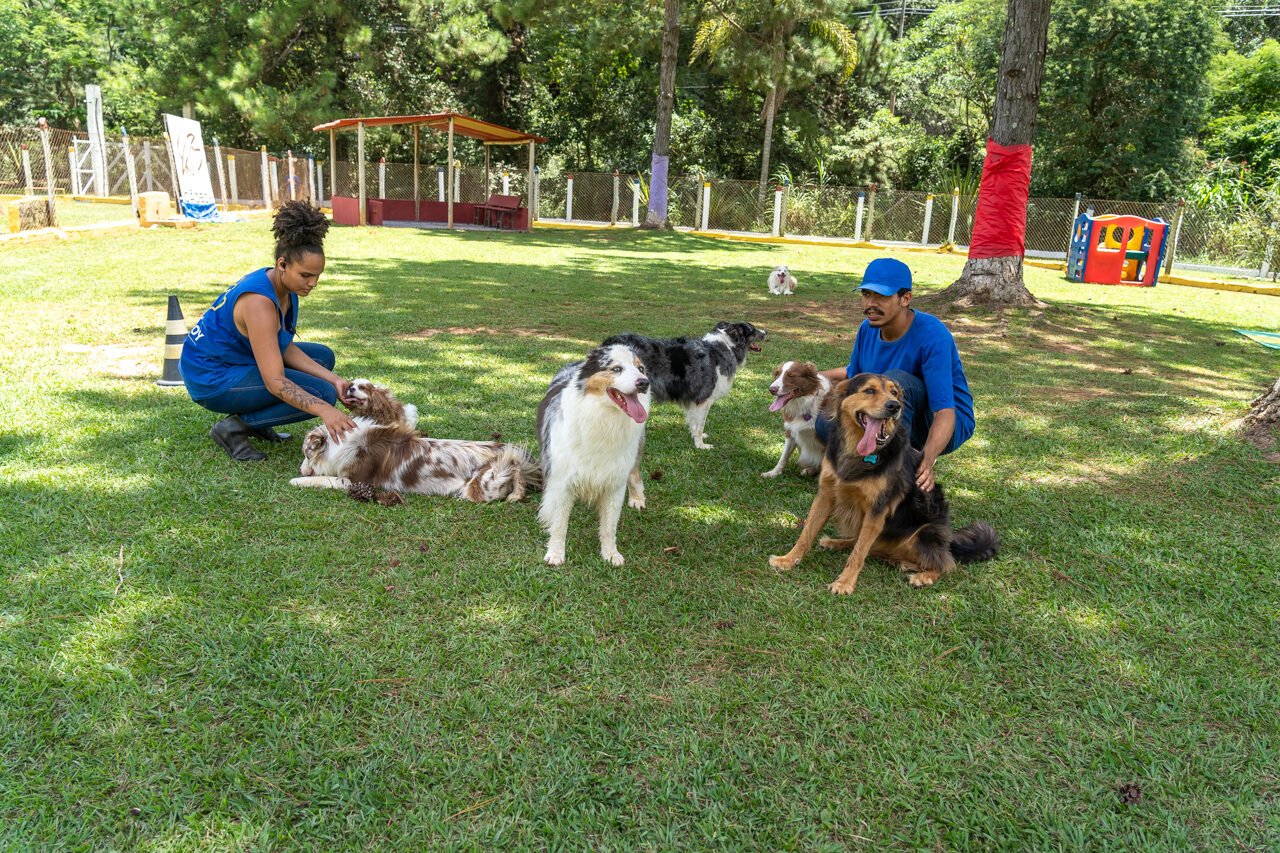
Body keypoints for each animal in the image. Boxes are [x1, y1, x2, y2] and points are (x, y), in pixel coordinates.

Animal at [290, 417, 540, 502]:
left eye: (306, 453)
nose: (301, 469)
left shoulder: (353, 482)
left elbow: (323, 480)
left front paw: (297, 480)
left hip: (481, 486)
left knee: (514, 461)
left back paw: (517, 493)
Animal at [535, 338, 650, 563]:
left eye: (640, 368)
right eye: (616, 369)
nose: (644, 382)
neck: (603, 418)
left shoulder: (615, 482)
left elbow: (609, 526)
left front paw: (611, 554)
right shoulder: (562, 480)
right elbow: (560, 523)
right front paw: (555, 553)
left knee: (635, 474)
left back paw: (637, 499)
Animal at [768, 371, 998, 591]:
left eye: (894, 392)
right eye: (869, 390)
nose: (894, 406)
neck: (856, 451)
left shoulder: (877, 509)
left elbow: (858, 553)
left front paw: (845, 583)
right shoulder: (826, 494)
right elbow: (807, 533)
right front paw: (788, 559)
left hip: (926, 532)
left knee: (946, 564)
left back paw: (922, 575)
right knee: (859, 541)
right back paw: (836, 542)